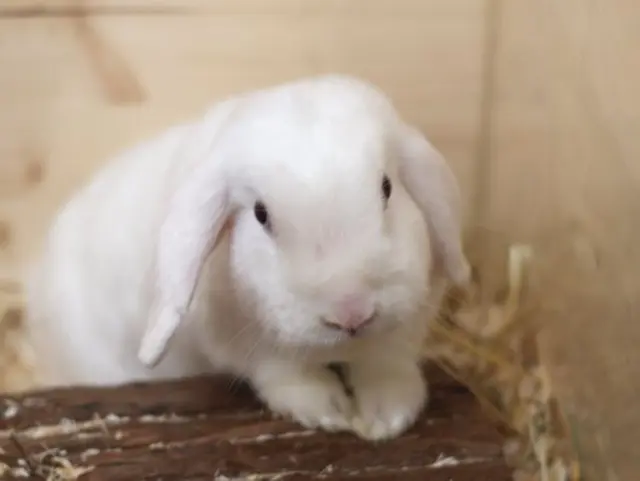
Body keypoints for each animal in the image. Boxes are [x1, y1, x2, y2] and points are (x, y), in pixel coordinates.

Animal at [24, 74, 470, 441]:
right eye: (260, 215)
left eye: (387, 188)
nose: (351, 313)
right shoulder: (245, 348)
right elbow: (285, 374)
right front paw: (329, 412)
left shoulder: (405, 326)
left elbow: (387, 362)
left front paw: (385, 417)